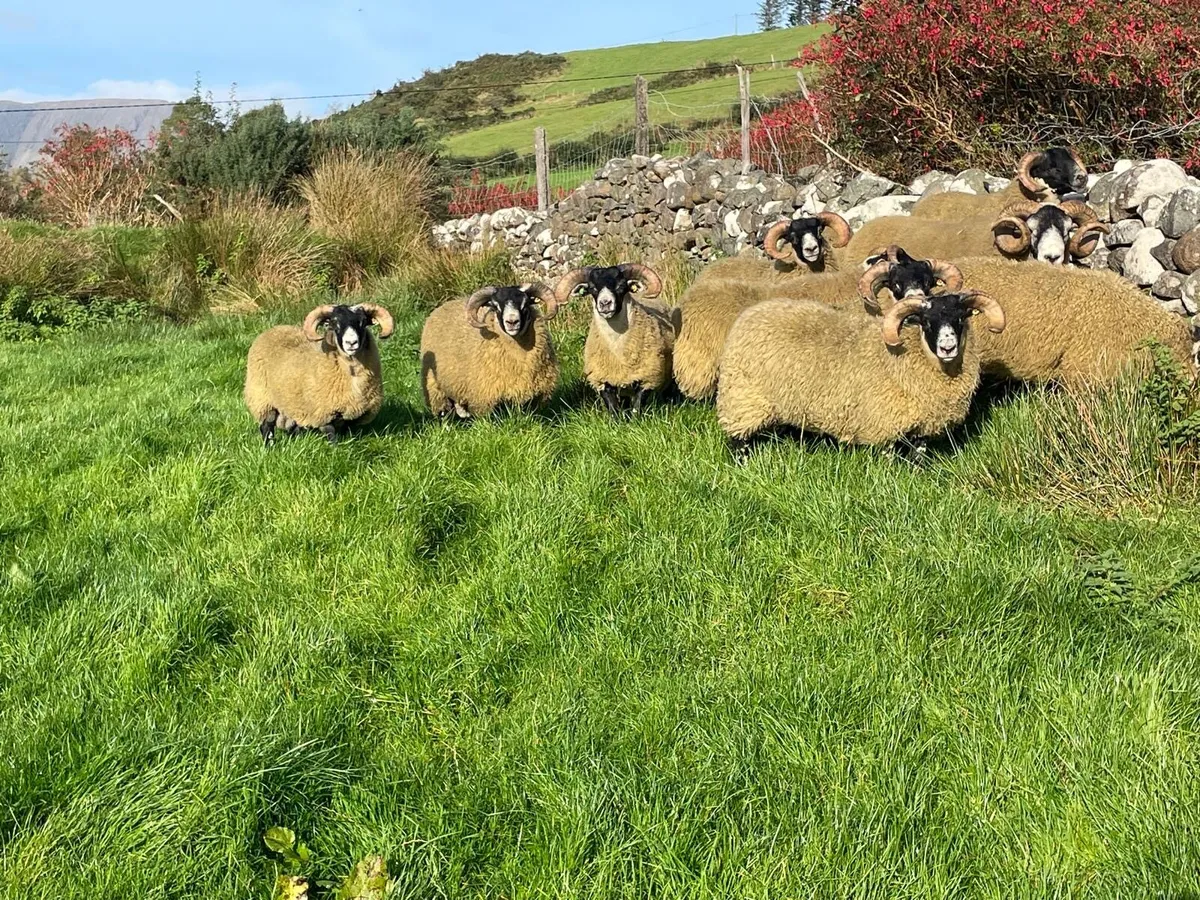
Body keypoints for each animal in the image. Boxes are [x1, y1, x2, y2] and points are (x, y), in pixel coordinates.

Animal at [244, 302, 395, 445]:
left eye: (363, 321)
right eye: (333, 323)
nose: (351, 342)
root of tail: (274, 329)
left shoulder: (352, 415)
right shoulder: (323, 412)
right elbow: (331, 435)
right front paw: (335, 451)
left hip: (293, 405)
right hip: (262, 399)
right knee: (266, 427)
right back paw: (269, 447)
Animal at [420, 282, 561, 420]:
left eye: (525, 305)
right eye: (496, 307)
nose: (512, 322)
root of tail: (446, 303)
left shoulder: (538, 396)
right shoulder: (484, 398)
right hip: (435, 389)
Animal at [552, 263, 678, 414]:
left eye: (621, 286)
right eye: (592, 288)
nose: (605, 303)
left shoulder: (647, 377)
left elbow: (637, 407)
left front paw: (636, 419)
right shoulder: (603, 380)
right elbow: (614, 409)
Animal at [716, 290, 1007, 449]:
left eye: (961, 317)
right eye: (926, 322)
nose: (948, 347)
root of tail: (751, 313)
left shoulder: (923, 426)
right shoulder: (883, 424)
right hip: (743, 398)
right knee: (738, 441)